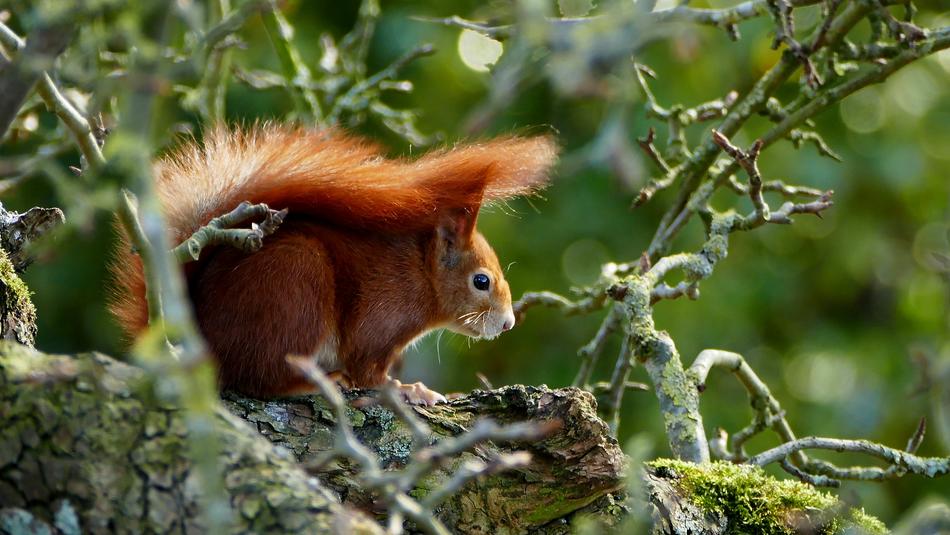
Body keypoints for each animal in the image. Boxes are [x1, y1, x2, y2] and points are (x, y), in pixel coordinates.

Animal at [109, 124, 556, 405]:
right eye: (481, 281)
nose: (507, 324)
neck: (420, 275)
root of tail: (198, 340)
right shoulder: (380, 318)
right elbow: (368, 371)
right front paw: (410, 390)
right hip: (295, 288)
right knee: (260, 378)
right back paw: (313, 384)